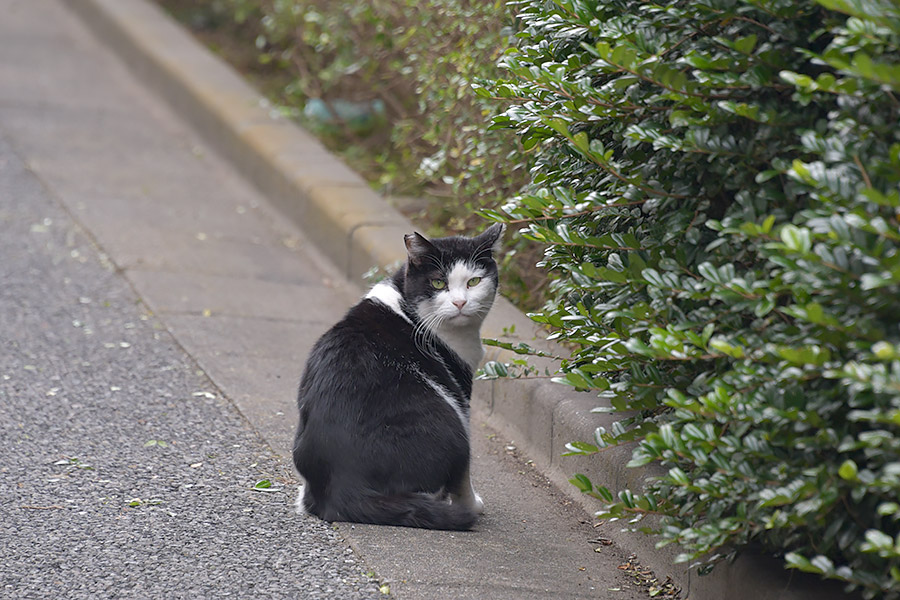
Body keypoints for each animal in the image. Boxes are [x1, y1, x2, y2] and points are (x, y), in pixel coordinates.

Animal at [296, 224, 506, 528]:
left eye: (474, 282)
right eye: (438, 283)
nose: (460, 302)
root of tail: (342, 486)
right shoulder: (461, 392)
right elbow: (464, 479)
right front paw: (474, 504)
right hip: (450, 417)